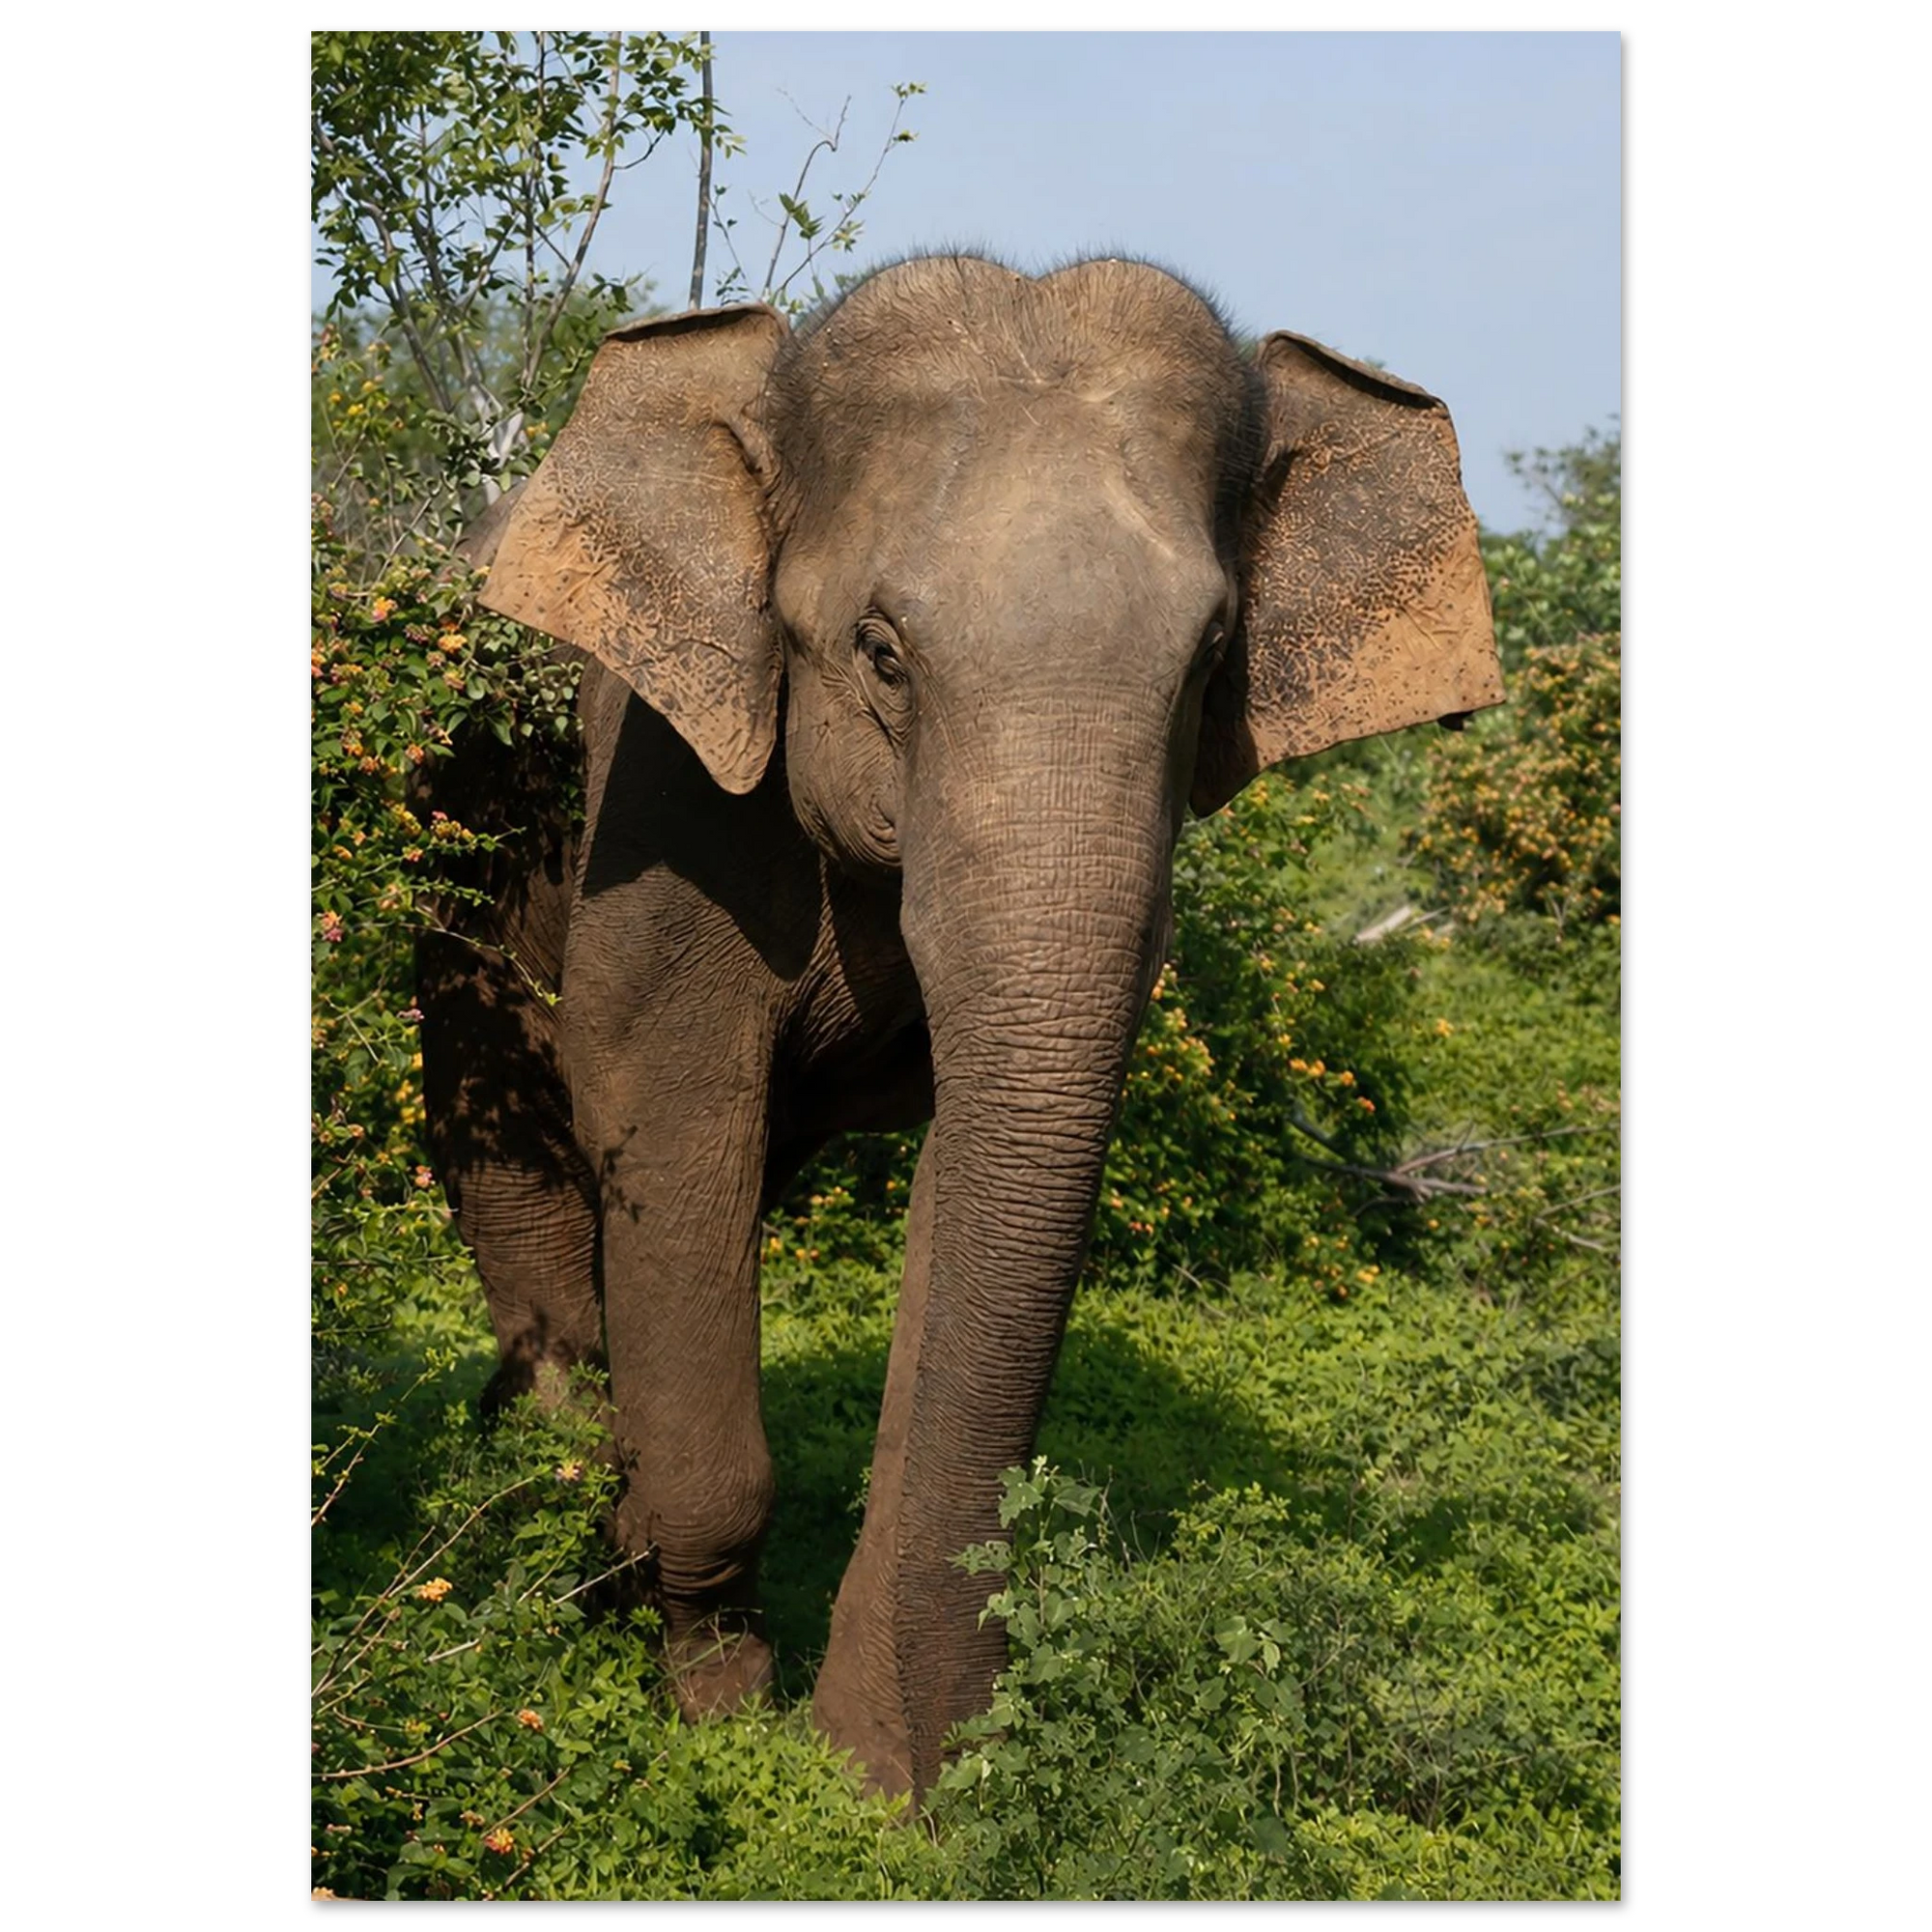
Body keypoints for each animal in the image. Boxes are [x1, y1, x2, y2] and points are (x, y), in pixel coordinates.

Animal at [417, 253, 1502, 1801]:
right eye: (881, 653)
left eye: (1210, 660)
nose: (942, 1782)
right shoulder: (664, 793)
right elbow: (657, 1104)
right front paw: (714, 1704)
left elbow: (969, 1166)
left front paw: (864, 1771)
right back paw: (543, 1481)